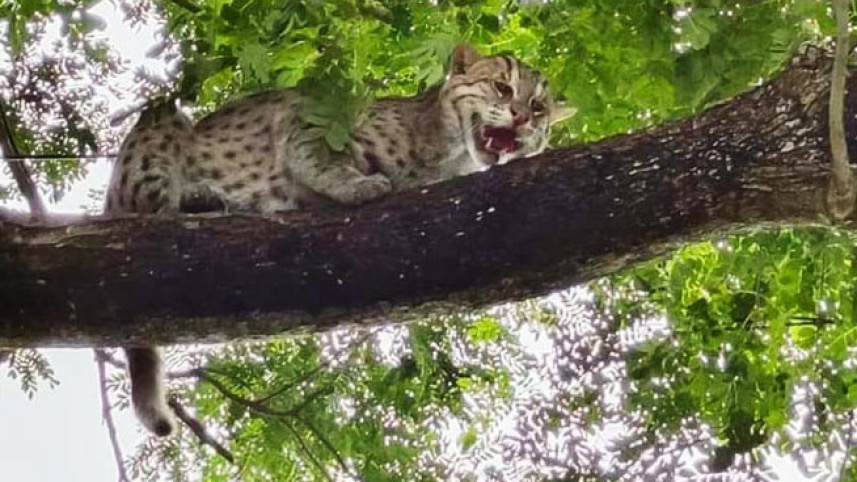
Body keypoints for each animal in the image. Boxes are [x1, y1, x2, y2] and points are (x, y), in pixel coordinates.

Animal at [104, 44, 573, 436]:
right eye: (502, 87)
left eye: (539, 108)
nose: (522, 118)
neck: (449, 153)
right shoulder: (307, 115)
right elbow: (319, 158)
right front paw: (354, 184)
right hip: (160, 126)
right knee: (151, 204)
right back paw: (196, 199)